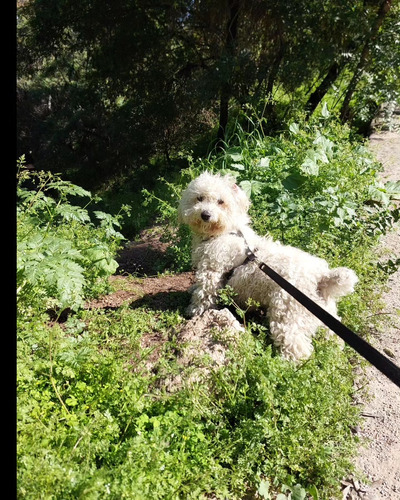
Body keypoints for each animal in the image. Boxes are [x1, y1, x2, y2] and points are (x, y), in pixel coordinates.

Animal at [177, 172, 358, 360]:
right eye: (199, 198)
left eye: (221, 201)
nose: (205, 214)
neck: (223, 233)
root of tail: (321, 278)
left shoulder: (212, 271)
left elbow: (203, 295)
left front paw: (194, 312)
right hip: (325, 315)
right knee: (334, 337)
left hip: (287, 315)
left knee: (297, 347)